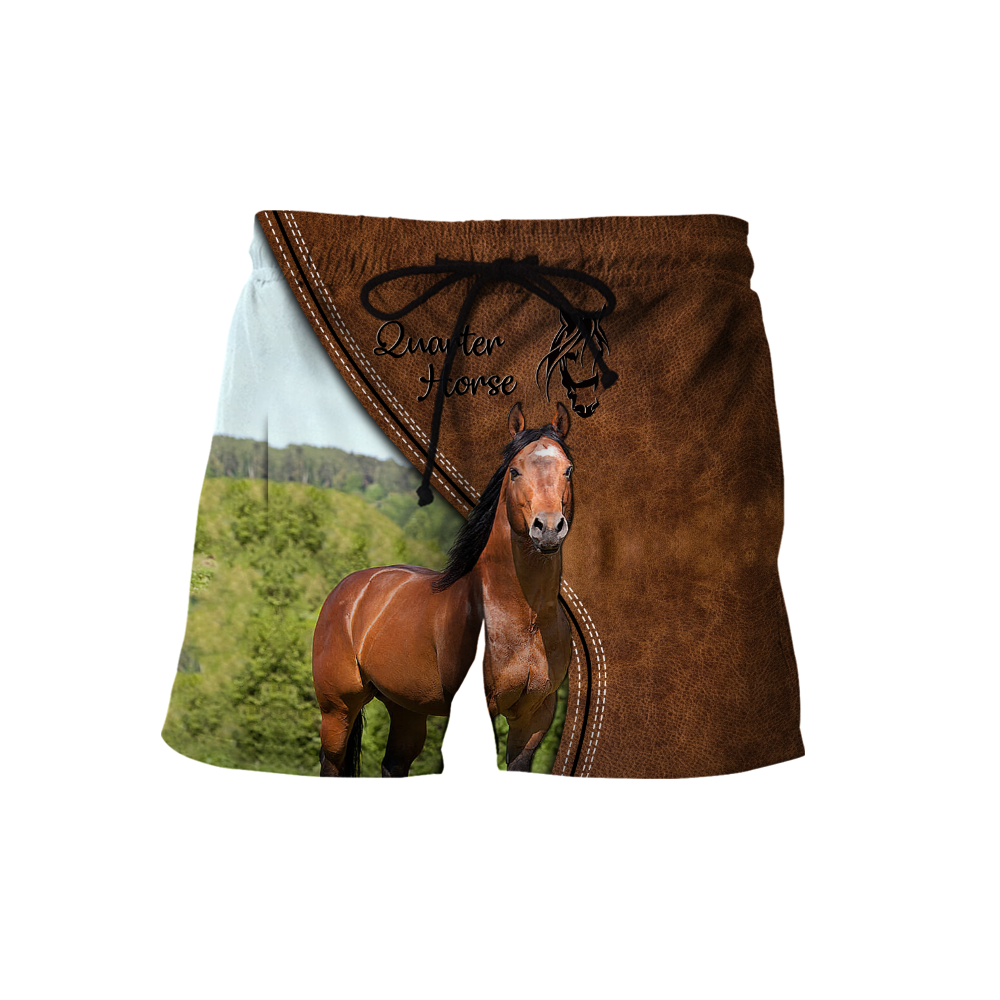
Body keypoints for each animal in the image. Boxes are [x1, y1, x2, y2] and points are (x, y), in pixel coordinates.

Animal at [312, 400, 575, 776]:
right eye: (514, 472)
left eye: (568, 470)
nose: (549, 528)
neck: (525, 617)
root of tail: (347, 591)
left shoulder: (535, 716)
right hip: (337, 710)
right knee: (332, 763)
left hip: (406, 707)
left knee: (393, 764)